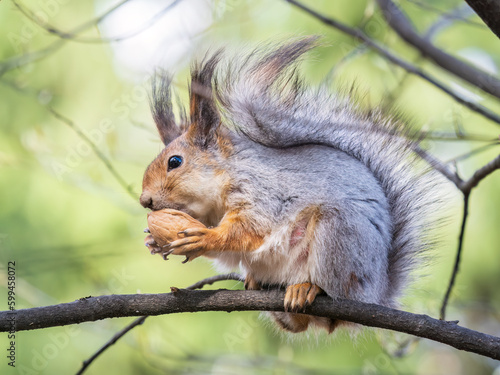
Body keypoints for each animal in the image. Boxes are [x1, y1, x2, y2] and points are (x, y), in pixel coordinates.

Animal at [139, 36, 440, 334]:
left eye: (175, 161)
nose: (145, 201)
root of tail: (376, 292)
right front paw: (153, 239)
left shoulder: (263, 193)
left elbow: (250, 229)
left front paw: (204, 238)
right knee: (296, 325)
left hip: (339, 237)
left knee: (333, 290)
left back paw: (308, 288)